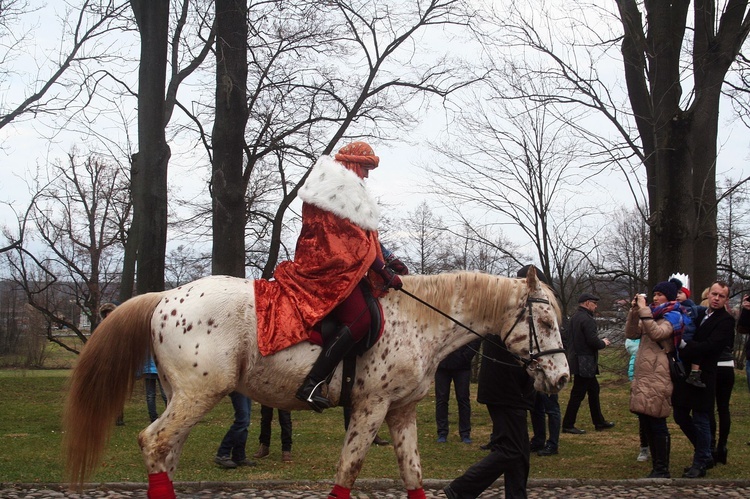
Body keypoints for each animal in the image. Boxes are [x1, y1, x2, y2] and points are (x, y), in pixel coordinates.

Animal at [64, 270, 568, 499]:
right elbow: (348, 469)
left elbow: (413, 475)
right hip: (197, 395)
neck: (419, 321)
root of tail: (166, 296)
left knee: (166, 453)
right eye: (545, 322)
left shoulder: (401, 411)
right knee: (154, 442)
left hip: (182, 396)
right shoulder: (371, 407)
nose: (562, 377)